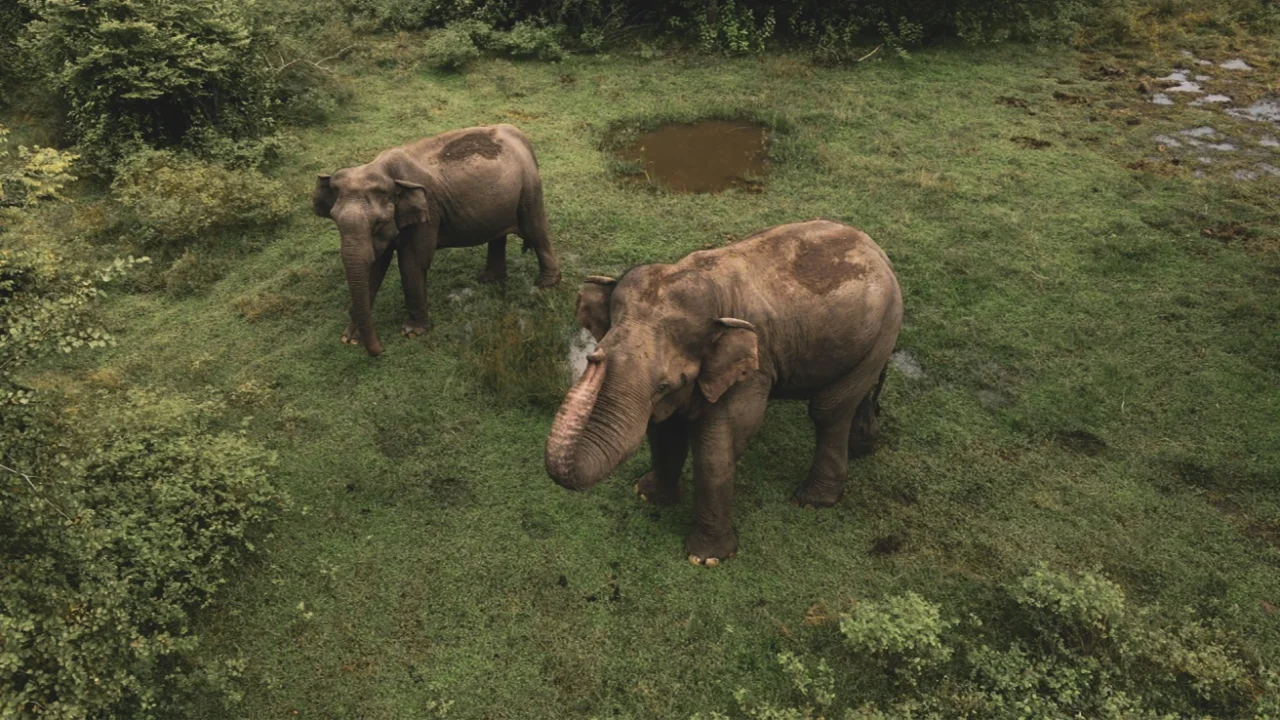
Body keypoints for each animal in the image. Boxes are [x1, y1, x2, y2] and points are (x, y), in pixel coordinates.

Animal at [312, 124, 561, 356]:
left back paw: (545, 285)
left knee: (536, 231)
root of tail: (519, 135)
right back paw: (489, 279)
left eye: (378, 222)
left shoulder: (427, 211)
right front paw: (349, 338)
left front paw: (412, 333)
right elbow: (375, 266)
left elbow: (413, 261)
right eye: (335, 220)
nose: (381, 351)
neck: (381, 169)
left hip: (528, 189)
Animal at [545, 220, 903, 566]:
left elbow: (717, 449)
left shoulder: (753, 370)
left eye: (665, 384)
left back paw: (812, 501)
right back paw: (862, 448)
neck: (709, 283)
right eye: (598, 349)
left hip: (885, 325)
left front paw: (707, 558)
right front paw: (649, 495)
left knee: (828, 410)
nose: (595, 358)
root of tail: (878, 251)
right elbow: (664, 431)